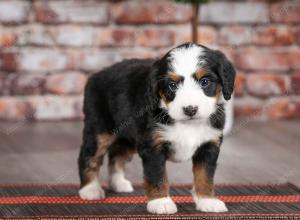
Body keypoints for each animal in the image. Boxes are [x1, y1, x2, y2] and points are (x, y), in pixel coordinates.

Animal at [78, 42, 237, 214]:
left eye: (205, 82)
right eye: (172, 85)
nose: (190, 109)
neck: (187, 124)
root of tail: (97, 74)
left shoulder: (209, 145)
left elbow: (205, 175)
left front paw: (207, 200)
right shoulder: (153, 145)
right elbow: (157, 175)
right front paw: (161, 202)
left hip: (129, 136)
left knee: (117, 155)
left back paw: (118, 183)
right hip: (99, 130)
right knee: (89, 157)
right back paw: (90, 189)